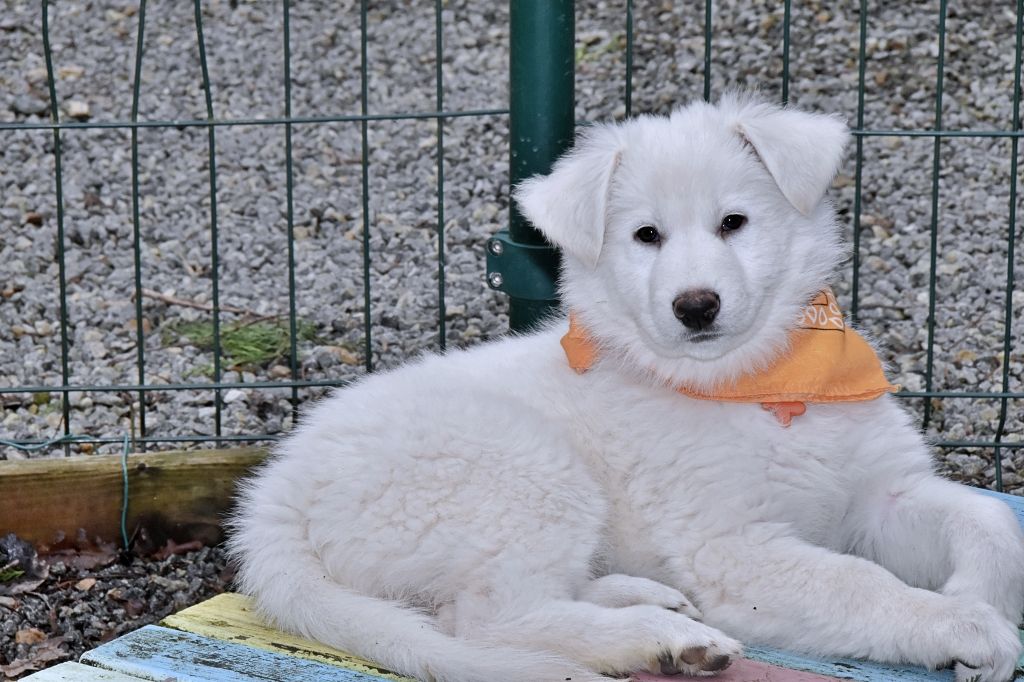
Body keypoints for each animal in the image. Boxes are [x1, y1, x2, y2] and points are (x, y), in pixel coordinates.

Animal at [230, 94, 1024, 682]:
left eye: (734, 222)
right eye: (646, 236)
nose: (695, 305)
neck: (759, 385)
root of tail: (276, 494)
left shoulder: (880, 495)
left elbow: (989, 520)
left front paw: (975, 596)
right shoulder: (733, 549)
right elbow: (860, 584)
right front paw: (962, 625)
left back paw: (654, 607)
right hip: (524, 472)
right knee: (487, 620)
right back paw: (654, 638)